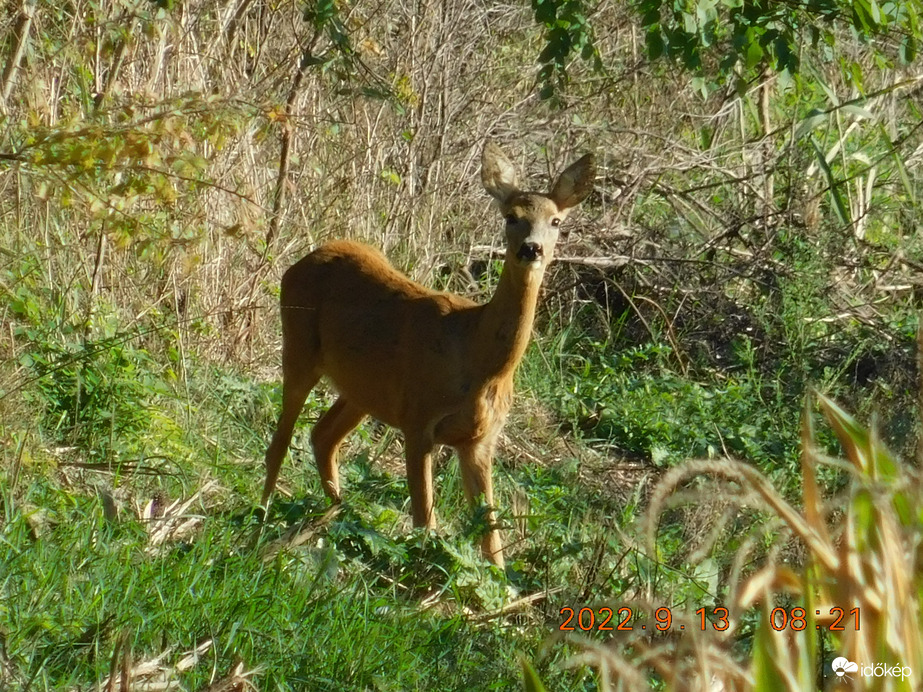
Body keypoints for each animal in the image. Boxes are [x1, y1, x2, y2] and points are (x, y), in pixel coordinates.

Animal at [262, 142, 592, 568]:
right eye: (511, 217)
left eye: (556, 222)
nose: (531, 249)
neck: (479, 360)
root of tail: (304, 259)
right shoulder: (418, 420)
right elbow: (425, 521)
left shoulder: (480, 440)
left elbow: (491, 537)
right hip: (299, 348)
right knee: (281, 439)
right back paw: (263, 516)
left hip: (364, 390)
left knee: (322, 435)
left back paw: (341, 515)